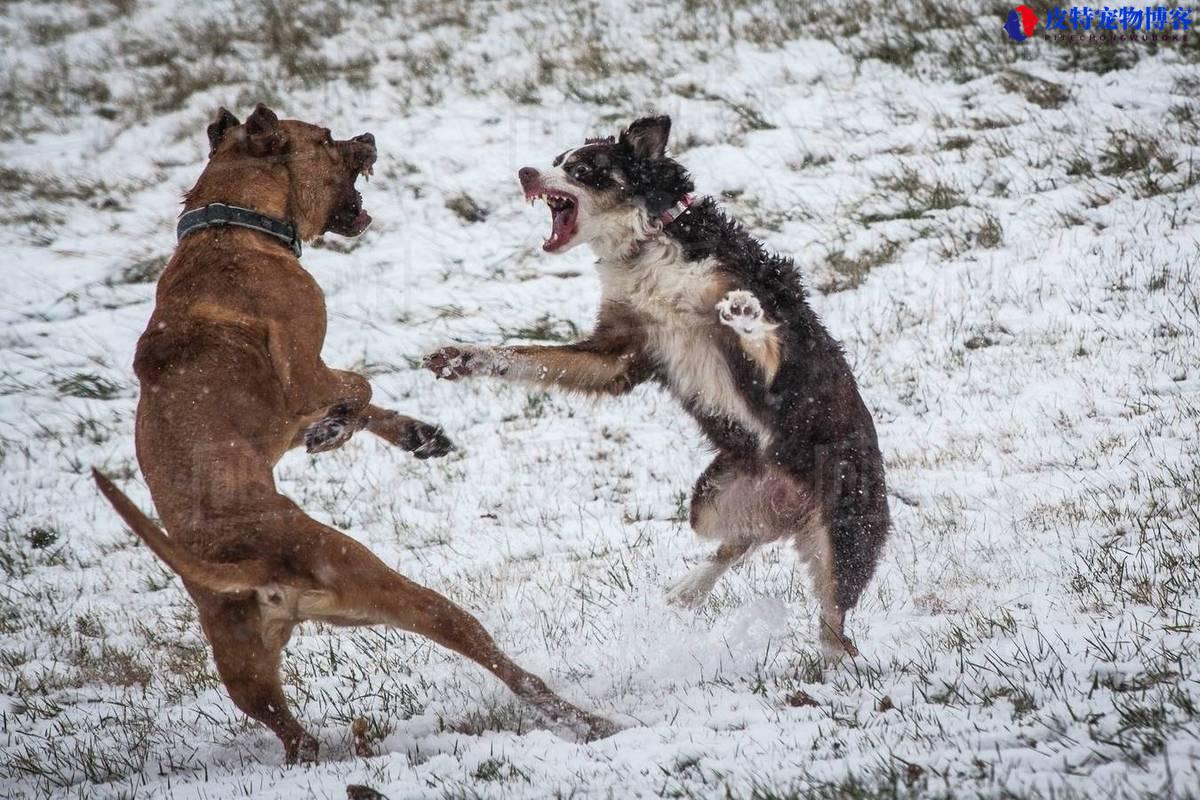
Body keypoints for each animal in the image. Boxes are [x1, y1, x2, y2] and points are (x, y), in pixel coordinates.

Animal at [92, 106, 614, 762]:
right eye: (324, 138)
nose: (366, 137)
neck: (228, 226)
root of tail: (251, 570)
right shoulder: (304, 373)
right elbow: (359, 386)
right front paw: (339, 428)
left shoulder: (292, 415)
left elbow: (357, 403)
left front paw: (411, 434)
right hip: (384, 586)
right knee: (478, 641)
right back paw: (587, 720)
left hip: (248, 669)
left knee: (292, 733)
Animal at [427, 117, 888, 657]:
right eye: (557, 159)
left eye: (583, 169)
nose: (525, 172)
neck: (648, 242)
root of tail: (798, 506)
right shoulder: (620, 355)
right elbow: (527, 358)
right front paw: (463, 357)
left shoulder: (765, 325)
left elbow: (763, 336)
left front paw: (745, 314)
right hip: (713, 501)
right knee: (742, 540)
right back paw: (690, 589)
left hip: (846, 532)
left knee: (833, 619)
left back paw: (834, 662)